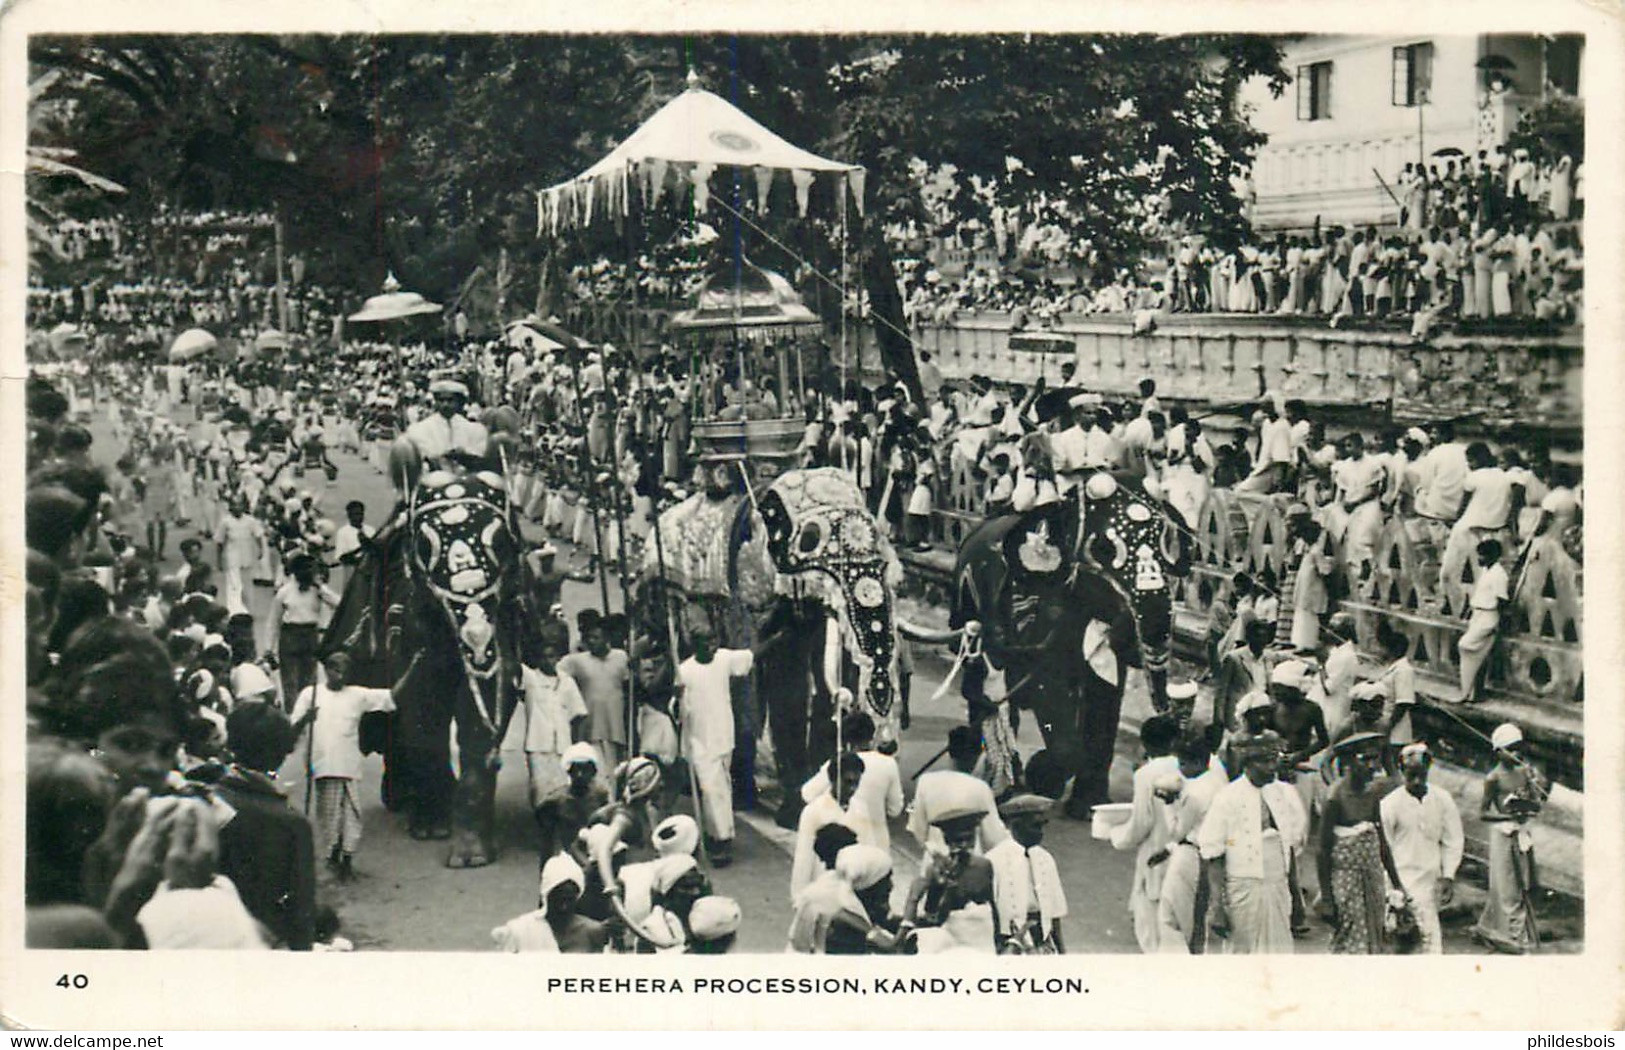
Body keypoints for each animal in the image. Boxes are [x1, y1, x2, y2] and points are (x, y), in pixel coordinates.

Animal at [637, 464, 903, 825]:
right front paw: (788, 814)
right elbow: (783, 683)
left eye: (879, 540)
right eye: (809, 540)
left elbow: (816, 677)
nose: (887, 746)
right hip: (665, 596)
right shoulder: (745, 594)